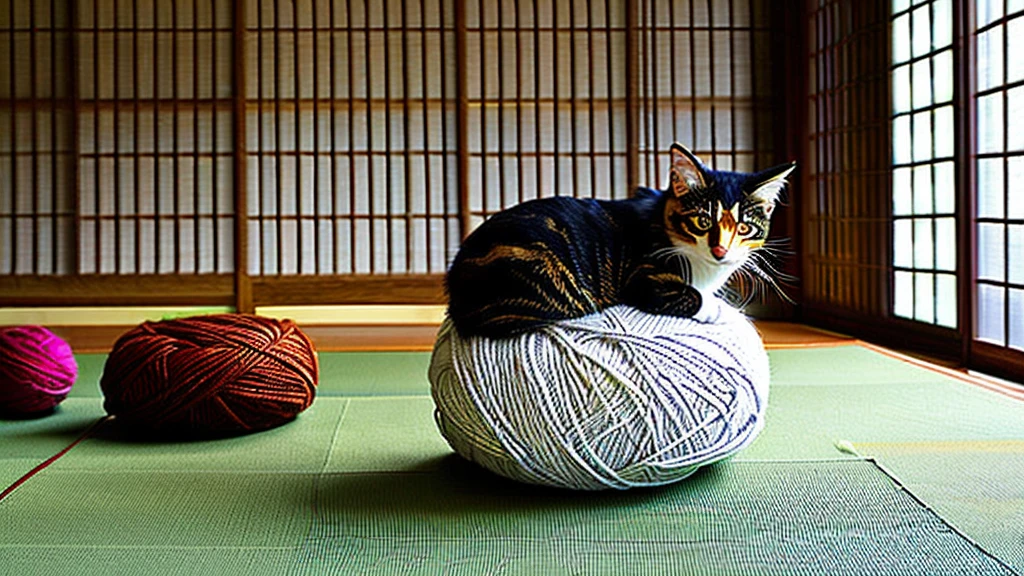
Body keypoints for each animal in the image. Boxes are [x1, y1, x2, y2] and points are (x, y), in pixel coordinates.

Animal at [444, 143, 794, 338]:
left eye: (744, 228)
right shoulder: (645, 273)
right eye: (702, 221)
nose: (720, 250)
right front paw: (726, 311)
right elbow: (689, 295)